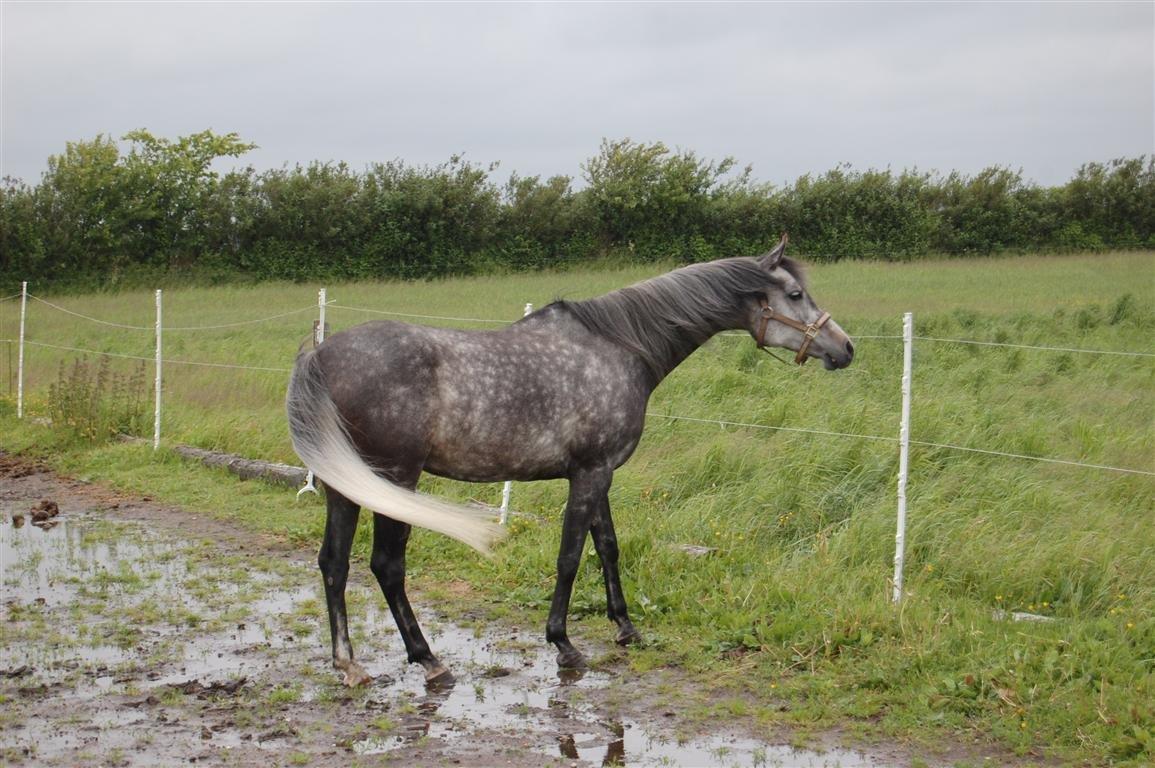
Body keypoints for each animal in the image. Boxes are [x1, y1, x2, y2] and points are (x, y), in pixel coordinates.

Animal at [284, 235, 854, 688]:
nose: (845, 348)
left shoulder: (599, 474)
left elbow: (608, 547)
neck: (620, 347)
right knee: (387, 565)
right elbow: (570, 557)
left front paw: (625, 627)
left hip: (347, 486)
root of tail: (322, 354)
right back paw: (429, 660)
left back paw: (349, 665)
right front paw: (563, 644)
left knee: (333, 564)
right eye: (795, 295)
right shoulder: (589, 474)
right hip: (395, 480)